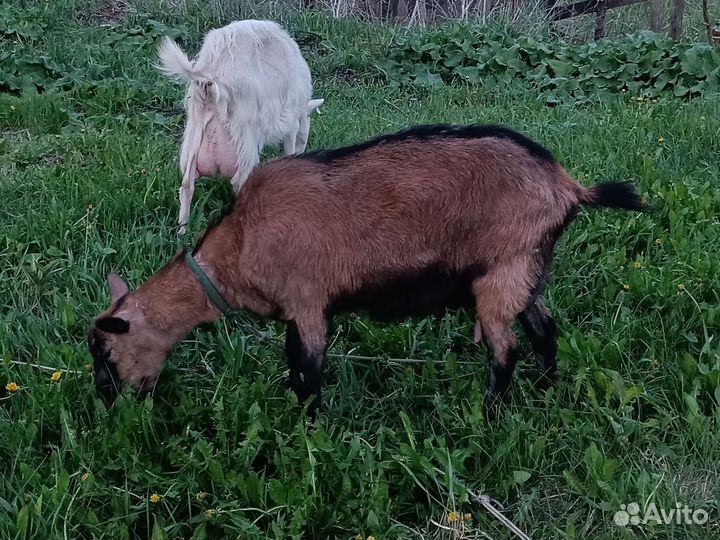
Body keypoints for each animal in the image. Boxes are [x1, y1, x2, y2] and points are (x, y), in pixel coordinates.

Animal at [88, 124, 646, 415]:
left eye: (107, 353)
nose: (107, 399)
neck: (240, 242)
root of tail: (567, 186)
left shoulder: (309, 301)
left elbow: (307, 369)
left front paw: (306, 427)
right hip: (526, 271)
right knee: (544, 329)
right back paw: (546, 389)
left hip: (501, 275)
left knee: (505, 347)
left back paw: (488, 413)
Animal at [157, 20, 324, 234]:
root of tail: (210, 81)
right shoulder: (292, 122)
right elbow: (289, 147)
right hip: (245, 141)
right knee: (238, 183)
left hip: (193, 135)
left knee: (187, 185)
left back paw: (182, 230)